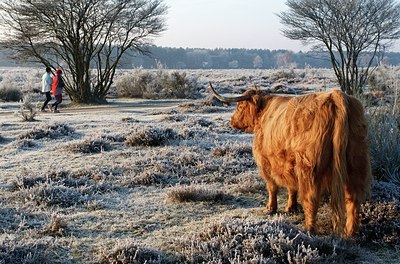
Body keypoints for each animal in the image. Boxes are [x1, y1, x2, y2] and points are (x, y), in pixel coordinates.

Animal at [211, 82, 374, 235]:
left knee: (311, 197)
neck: (263, 114)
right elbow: (292, 186)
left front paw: (270, 208)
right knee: (353, 199)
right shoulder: (288, 163)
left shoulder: (266, 161)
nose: (232, 121)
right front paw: (291, 207)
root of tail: (335, 96)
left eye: (240, 106)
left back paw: (309, 229)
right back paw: (351, 233)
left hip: (309, 167)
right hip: (357, 162)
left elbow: (272, 186)